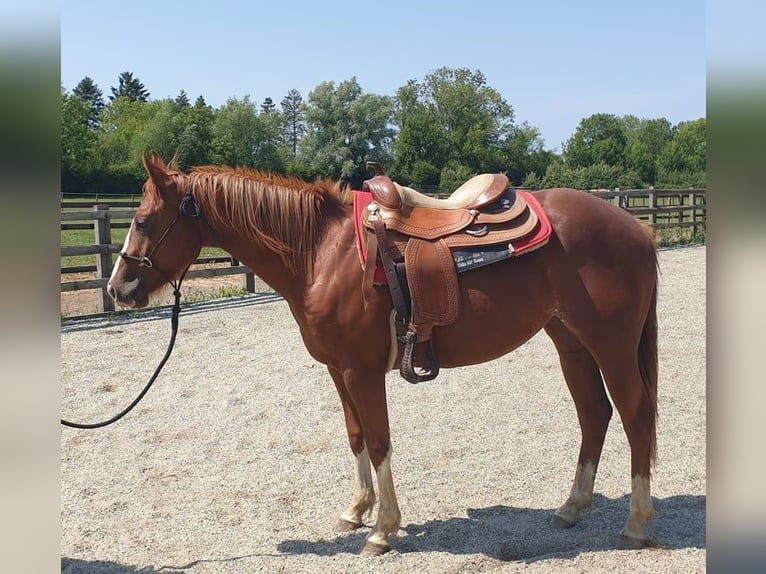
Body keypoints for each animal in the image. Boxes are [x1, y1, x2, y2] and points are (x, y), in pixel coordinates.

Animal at [106, 153, 660, 560]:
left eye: (142, 220)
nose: (117, 289)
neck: (322, 253)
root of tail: (636, 227)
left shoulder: (362, 370)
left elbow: (378, 442)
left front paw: (382, 530)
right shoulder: (337, 369)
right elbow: (354, 437)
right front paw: (356, 510)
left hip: (611, 344)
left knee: (635, 415)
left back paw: (635, 523)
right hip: (571, 341)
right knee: (594, 413)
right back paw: (572, 506)